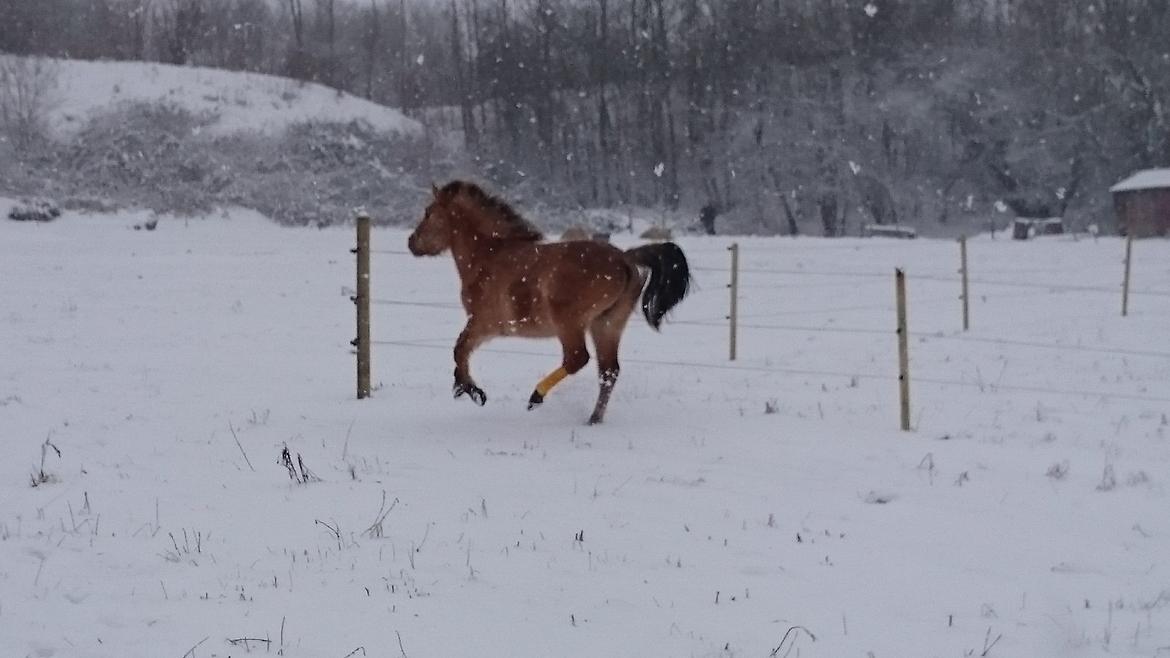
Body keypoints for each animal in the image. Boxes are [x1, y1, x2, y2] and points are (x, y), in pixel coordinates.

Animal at [407, 180, 687, 426]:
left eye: (428, 213)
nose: (411, 242)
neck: (488, 256)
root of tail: (625, 259)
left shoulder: (484, 323)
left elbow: (460, 348)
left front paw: (472, 391)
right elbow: (460, 351)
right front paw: (463, 387)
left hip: (570, 323)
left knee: (577, 359)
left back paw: (536, 396)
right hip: (607, 324)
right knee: (608, 371)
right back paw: (593, 420)